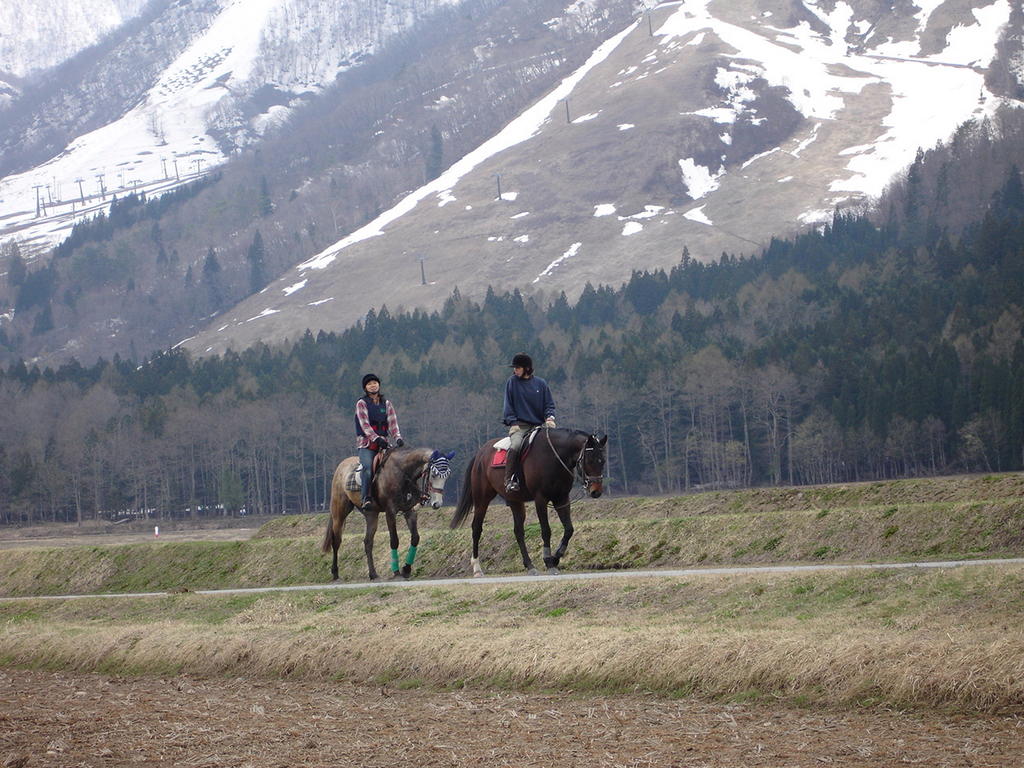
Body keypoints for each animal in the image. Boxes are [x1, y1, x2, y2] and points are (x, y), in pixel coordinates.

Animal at [323, 444, 456, 581]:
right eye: (433, 474)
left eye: (448, 475)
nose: (437, 503)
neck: (402, 473)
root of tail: (341, 466)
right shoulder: (390, 512)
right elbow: (394, 540)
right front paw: (396, 572)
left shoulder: (409, 511)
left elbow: (415, 538)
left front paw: (406, 569)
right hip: (339, 512)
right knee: (336, 541)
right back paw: (335, 573)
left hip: (371, 514)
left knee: (368, 542)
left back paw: (373, 574)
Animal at [450, 428, 606, 577]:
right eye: (589, 460)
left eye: (602, 461)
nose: (596, 491)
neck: (554, 456)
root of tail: (480, 453)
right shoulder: (540, 499)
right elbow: (546, 530)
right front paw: (548, 561)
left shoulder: (561, 498)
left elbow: (569, 529)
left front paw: (555, 558)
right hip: (482, 499)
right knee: (476, 528)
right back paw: (477, 568)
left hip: (515, 502)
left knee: (518, 532)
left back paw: (530, 565)